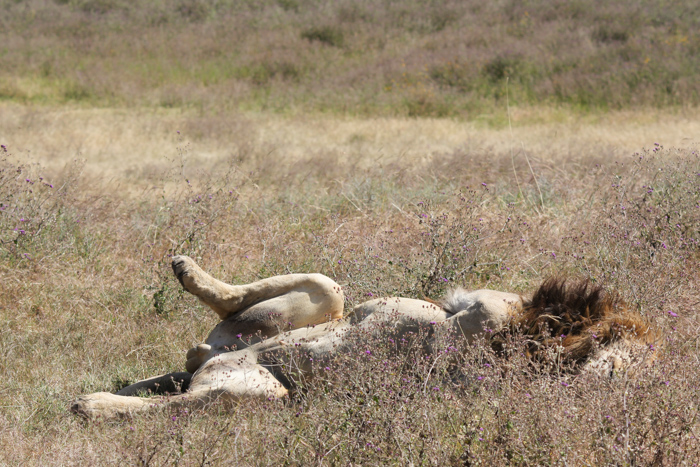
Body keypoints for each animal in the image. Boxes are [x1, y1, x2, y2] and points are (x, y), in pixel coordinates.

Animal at [74, 256, 660, 420]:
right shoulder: (476, 306)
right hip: (322, 305)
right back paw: (185, 271)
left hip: (264, 391)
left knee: (171, 402)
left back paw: (94, 404)